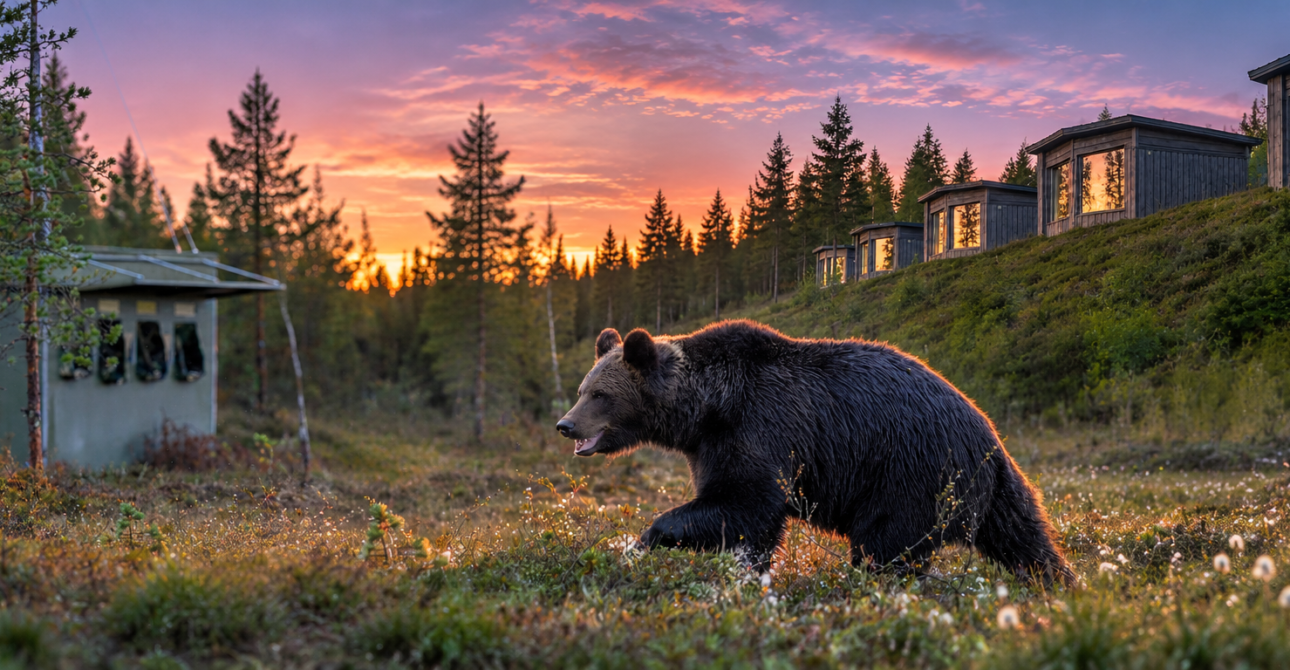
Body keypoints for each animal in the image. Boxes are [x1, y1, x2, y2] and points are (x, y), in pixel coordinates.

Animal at [556, 320, 1075, 586]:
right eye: (582, 389)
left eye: (600, 394)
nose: (566, 425)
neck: (707, 407)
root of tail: (991, 437)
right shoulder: (714, 445)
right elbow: (750, 525)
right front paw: (748, 574)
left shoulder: (760, 428)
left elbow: (744, 503)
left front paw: (641, 540)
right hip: (994, 490)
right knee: (1025, 539)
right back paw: (1060, 583)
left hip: (911, 472)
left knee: (887, 545)